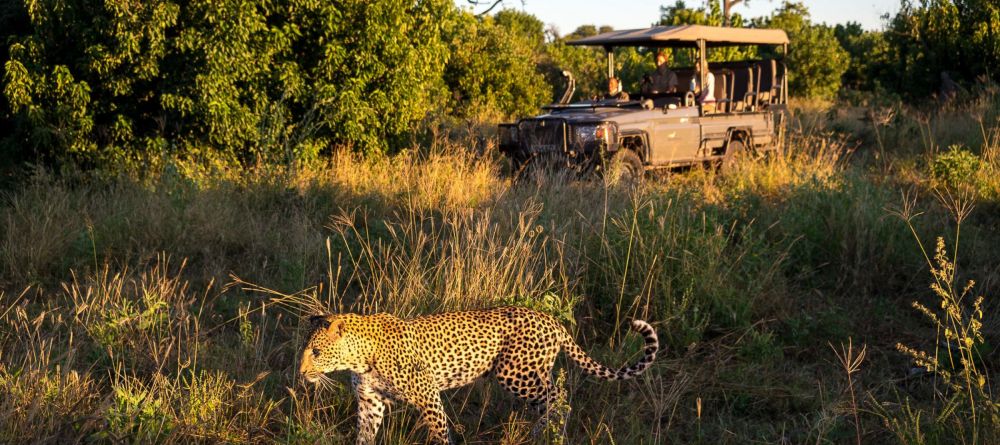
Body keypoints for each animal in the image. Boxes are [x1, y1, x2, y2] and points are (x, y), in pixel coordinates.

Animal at [298, 306, 656, 444]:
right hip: (531, 374)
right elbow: (365, 435)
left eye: (315, 352)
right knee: (553, 398)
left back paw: (545, 433)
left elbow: (440, 434)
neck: (358, 358)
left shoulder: (428, 396)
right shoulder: (370, 403)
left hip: (517, 374)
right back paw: (542, 431)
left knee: (559, 398)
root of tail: (551, 320)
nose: (301, 373)